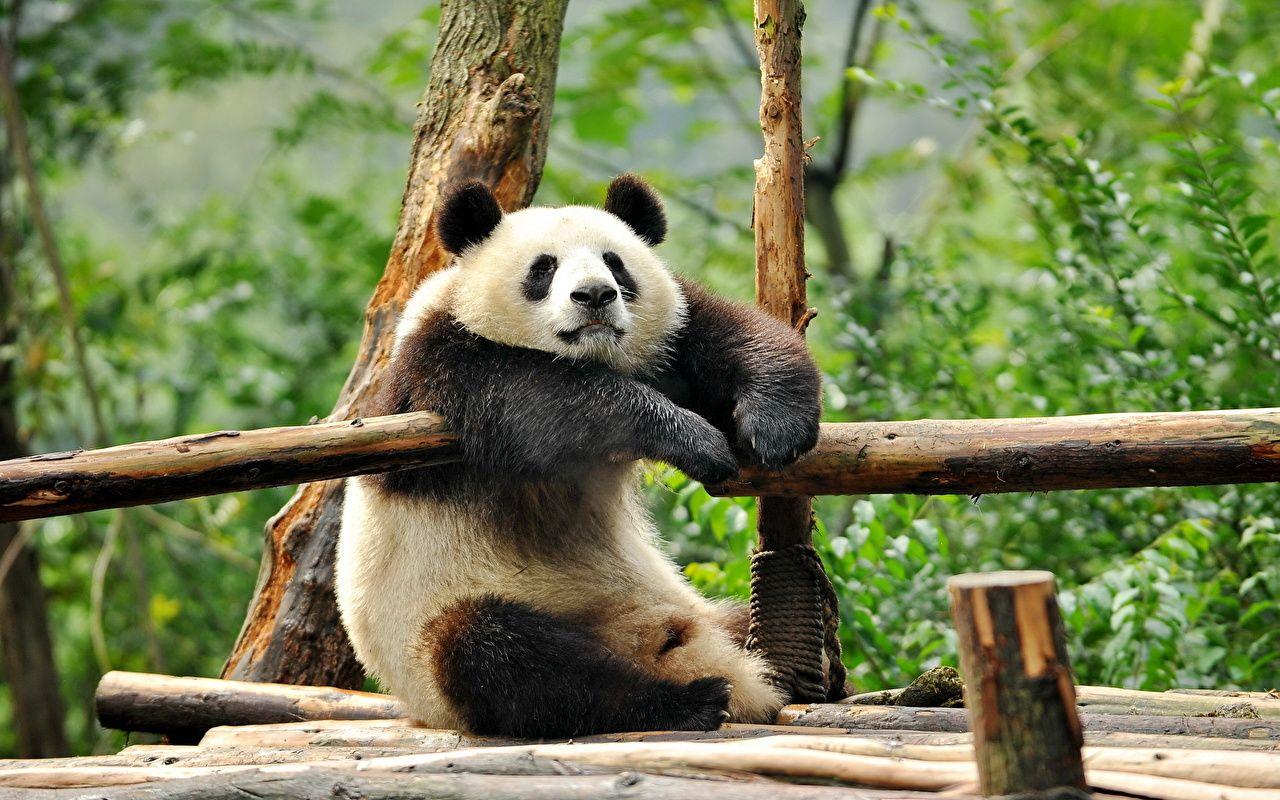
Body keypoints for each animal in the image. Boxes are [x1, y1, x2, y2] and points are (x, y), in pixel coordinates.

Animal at [336, 174, 822, 738]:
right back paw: (685, 701)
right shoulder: (443, 362)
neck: (591, 354)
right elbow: (545, 401)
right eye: (543, 267)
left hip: (690, 608)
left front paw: (776, 427)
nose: (594, 295)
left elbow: (728, 332)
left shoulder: (665, 335)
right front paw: (693, 440)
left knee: (731, 620)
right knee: (509, 660)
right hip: (437, 634)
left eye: (615, 263)